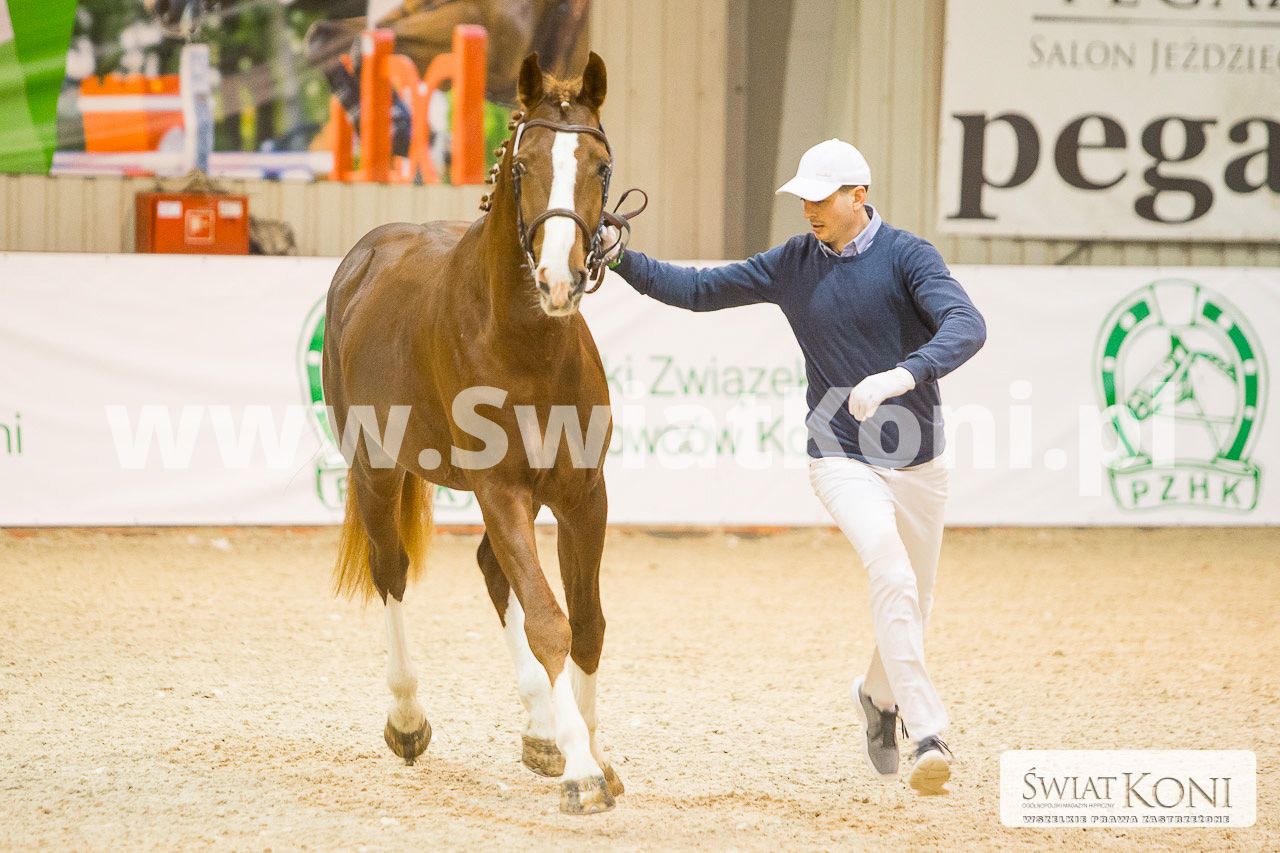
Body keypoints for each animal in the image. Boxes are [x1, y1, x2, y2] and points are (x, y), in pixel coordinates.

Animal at [322, 51, 631, 815]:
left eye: (600, 165)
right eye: (524, 164)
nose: (558, 279)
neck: (527, 342)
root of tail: (365, 257)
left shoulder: (584, 495)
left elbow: (586, 622)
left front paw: (590, 751)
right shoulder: (501, 490)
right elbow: (549, 620)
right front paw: (583, 771)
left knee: (495, 574)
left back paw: (543, 731)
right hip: (375, 469)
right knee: (392, 571)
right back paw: (408, 720)